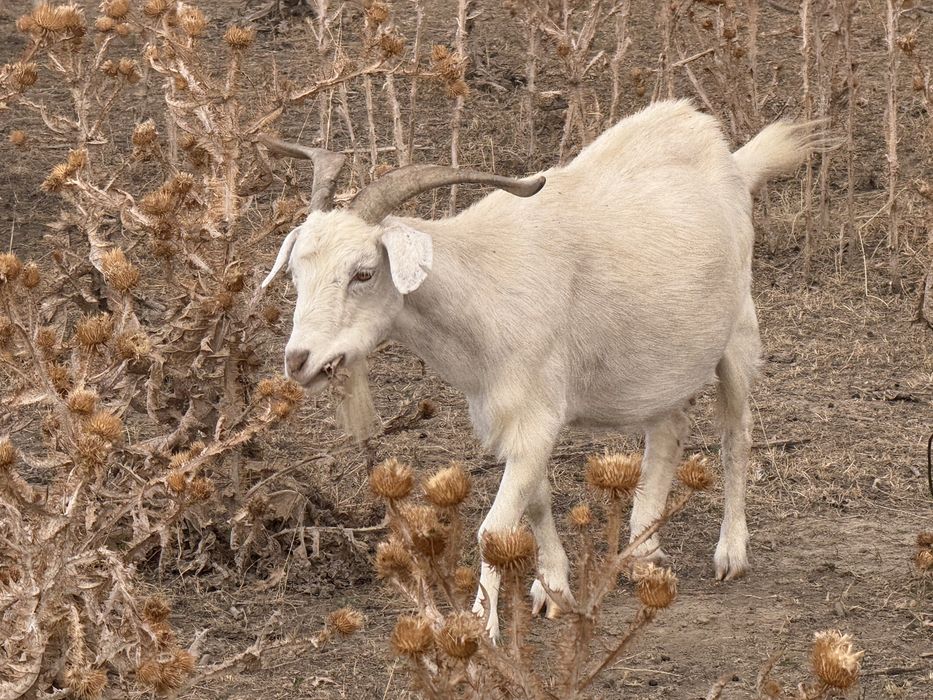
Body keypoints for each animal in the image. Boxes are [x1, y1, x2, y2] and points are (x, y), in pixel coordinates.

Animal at [260, 100, 827, 638]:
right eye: (296, 274)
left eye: (363, 272)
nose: (298, 360)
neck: (482, 287)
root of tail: (728, 158)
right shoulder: (509, 418)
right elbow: (536, 503)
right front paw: (553, 591)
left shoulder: (536, 415)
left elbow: (494, 530)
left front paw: (482, 630)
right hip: (660, 357)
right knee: (668, 430)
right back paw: (643, 554)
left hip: (737, 335)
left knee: (736, 434)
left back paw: (730, 553)